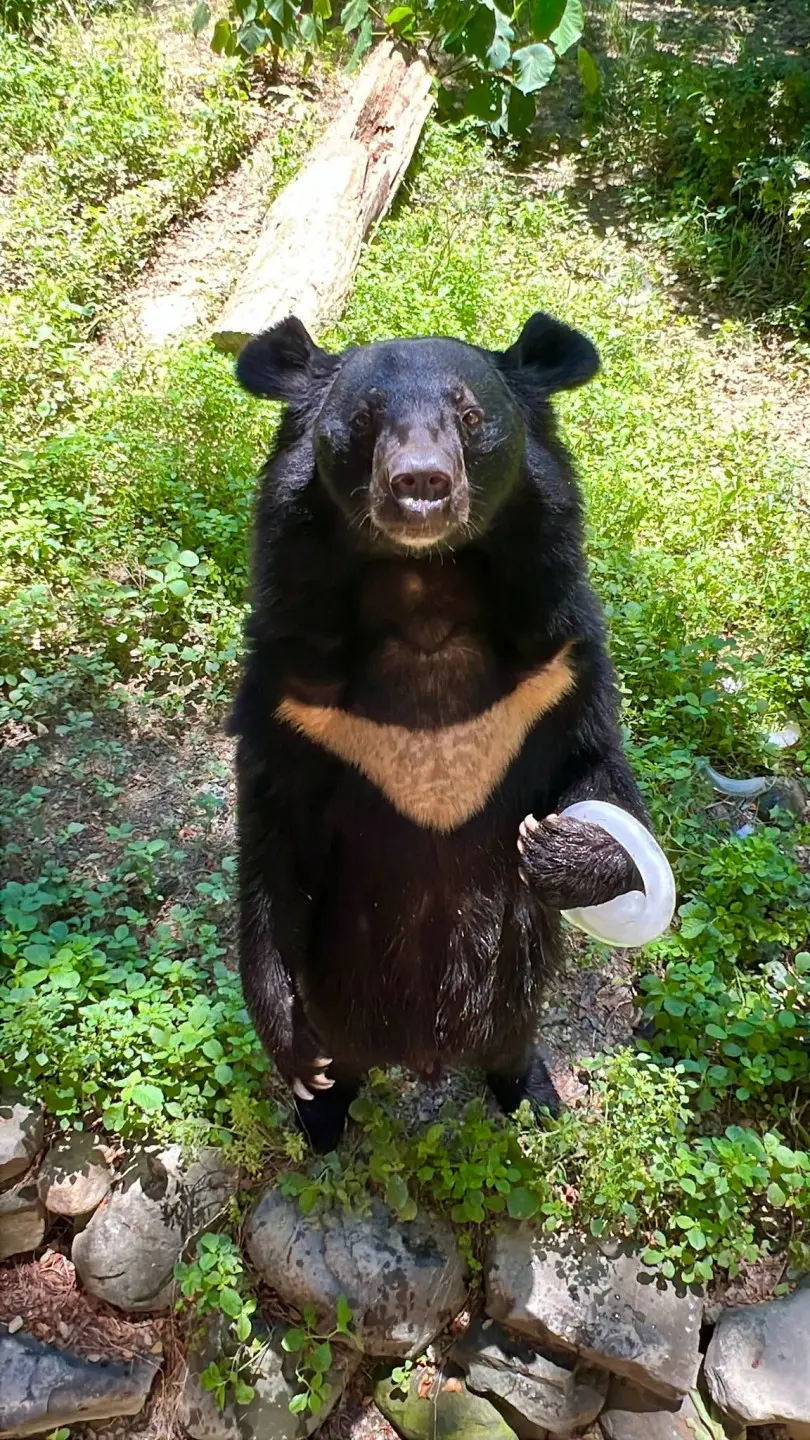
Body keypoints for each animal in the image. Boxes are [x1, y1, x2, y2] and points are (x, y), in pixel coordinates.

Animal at [229, 311, 650, 1153]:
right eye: (363, 421)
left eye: (470, 416)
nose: (419, 484)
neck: (422, 591)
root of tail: (422, 1054)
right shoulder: (287, 695)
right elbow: (271, 844)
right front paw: (289, 1046)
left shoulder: (562, 661)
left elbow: (598, 769)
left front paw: (554, 848)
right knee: (342, 1057)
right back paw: (322, 1109)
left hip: (515, 994)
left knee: (515, 1038)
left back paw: (533, 1094)